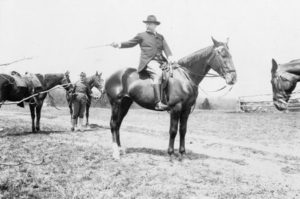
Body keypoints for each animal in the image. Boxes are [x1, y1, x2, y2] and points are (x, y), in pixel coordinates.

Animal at [105, 37, 237, 159]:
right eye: (222, 54)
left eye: (230, 54)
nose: (233, 78)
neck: (185, 77)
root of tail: (113, 75)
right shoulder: (175, 108)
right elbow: (173, 130)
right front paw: (171, 153)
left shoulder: (186, 109)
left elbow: (183, 130)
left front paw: (182, 153)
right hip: (116, 103)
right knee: (113, 124)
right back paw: (115, 152)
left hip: (126, 103)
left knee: (118, 124)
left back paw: (120, 149)